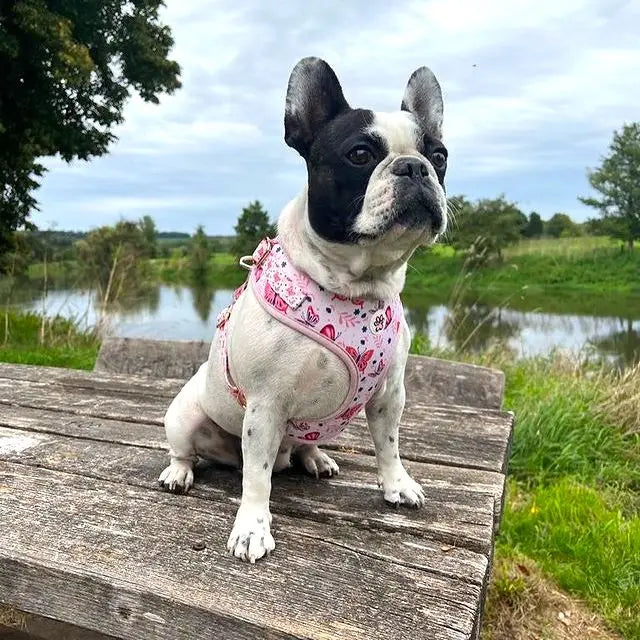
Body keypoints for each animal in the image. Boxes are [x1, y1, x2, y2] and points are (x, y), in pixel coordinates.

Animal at [160, 57, 450, 564]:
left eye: (440, 156)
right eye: (359, 154)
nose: (414, 167)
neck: (357, 290)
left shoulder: (389, 394)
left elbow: (389, 444)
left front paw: (397, 485)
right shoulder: (266, 405)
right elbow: (256, 476)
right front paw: (252, 528)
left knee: (300, 446)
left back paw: (316, 458)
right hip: (184, 414)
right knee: (191, 450)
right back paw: (179, 472)